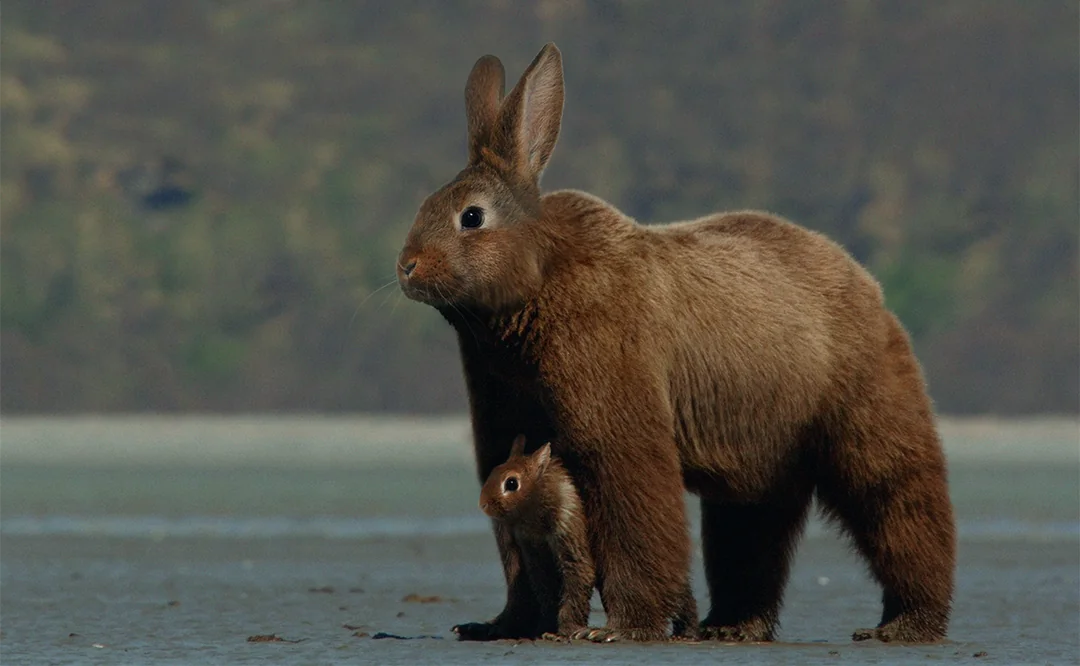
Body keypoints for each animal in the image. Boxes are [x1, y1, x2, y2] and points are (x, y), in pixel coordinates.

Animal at [479, 435, 698, 642]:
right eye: (493, 472)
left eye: (512, 483)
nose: (483, 504)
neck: (533, 516)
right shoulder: (533, 552)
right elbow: (546, 592)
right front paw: (546, 627)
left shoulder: (571, 539)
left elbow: (577, 585)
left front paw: (564, 631)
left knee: (682, 599)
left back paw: (687, 632)